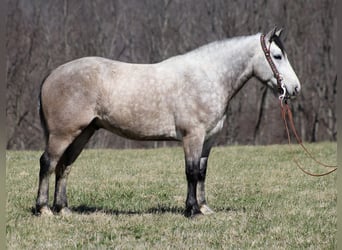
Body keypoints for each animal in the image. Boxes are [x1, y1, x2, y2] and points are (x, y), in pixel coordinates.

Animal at [36, 27, 300, 218]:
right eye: (277, 56)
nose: (295, 88)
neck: (208, 77)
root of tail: (51, 75)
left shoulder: (208, 140)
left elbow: (201, 173)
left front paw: (204, 207)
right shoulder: (192, 136)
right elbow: (190, 172)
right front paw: (192, 210)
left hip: (83, 132)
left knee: (64, 166)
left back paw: (64, 209)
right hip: (63, 134)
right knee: (48, 163)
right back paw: (44, 209)